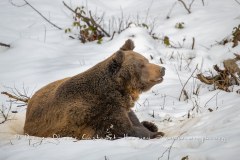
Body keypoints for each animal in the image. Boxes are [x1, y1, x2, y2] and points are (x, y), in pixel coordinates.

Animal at [23, 39, 165, 139]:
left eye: (146, 60)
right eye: (141, 65)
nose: (162, 69)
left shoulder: (122, 107)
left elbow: (134, 121)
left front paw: (151, 126)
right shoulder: (100, 111)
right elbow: (123, 129)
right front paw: (155, 133)